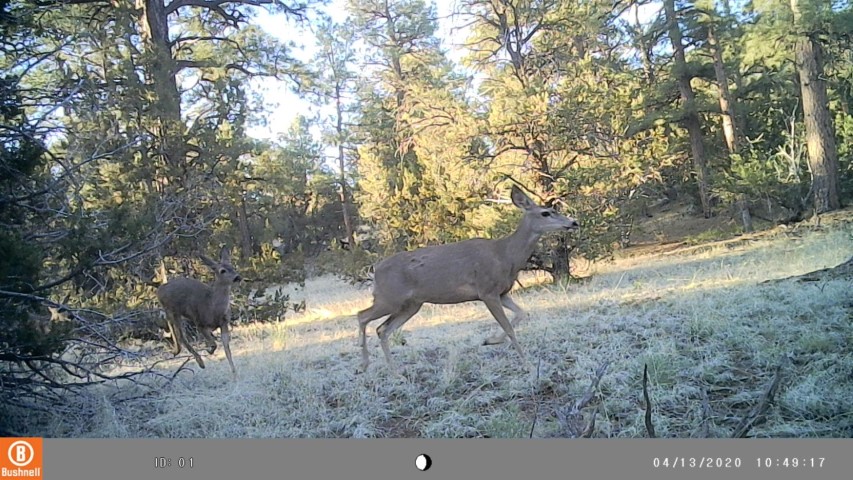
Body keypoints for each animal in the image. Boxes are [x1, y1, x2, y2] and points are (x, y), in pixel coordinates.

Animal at [156, 245, 241, 379]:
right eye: (222, 271)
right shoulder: (200, 323)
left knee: (172, 326)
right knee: (180, 335)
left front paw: (234, 373)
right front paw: (209, 350)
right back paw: (198, 361)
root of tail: (160, 289)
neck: (213, 307)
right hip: (172, 309)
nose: (238, 277)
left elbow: (227, 349)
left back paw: (176, 350)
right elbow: (214, 344)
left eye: (232, 266)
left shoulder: (224, 323)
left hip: (175, 312)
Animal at [357, 184, 580, 372]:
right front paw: (528, 365)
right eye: (546, 213)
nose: (573, 222)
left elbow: (522, 313)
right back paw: (366, 364)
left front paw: (489, 340)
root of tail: (375, 270)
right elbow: (508, 327)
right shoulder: (487, 291)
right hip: (389, 298)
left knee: (382, 329)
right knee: (362, 316)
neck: (505, 255)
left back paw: (395, 372)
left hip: (411, 304)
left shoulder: (502, 292)